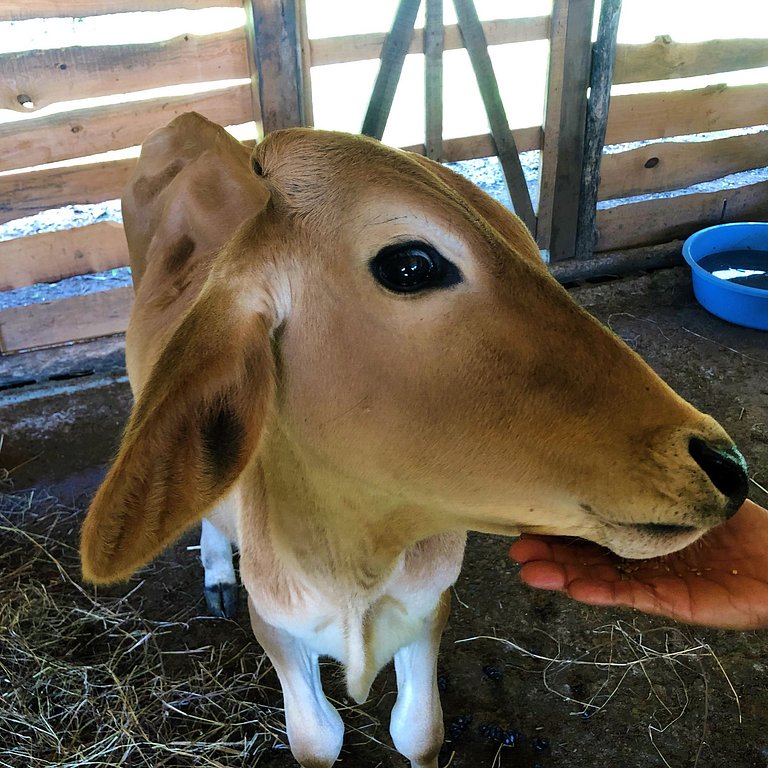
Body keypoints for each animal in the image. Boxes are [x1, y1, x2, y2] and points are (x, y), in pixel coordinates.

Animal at [82, 114, 744, 768]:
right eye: (411, 266)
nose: (725, 465)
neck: (358, 563)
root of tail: (188, 121)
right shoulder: (276, 625)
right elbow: (317, 740)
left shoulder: (428, 608)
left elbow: (419, 731)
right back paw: (219, 571)